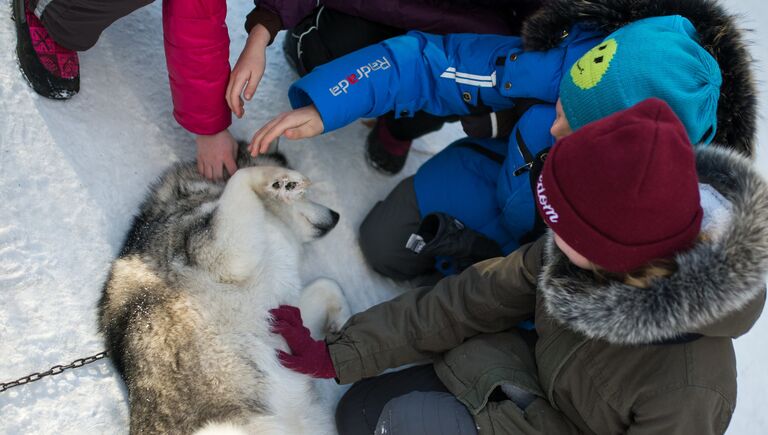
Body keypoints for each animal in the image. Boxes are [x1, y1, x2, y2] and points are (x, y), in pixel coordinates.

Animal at [97, 148, 350, 434]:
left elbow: (327, 285)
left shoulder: (279, 311)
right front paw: (279, 181)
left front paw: (342, 322)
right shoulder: (223, 252)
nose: (336, 216)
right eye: (305, 195)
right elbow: (242, 176)